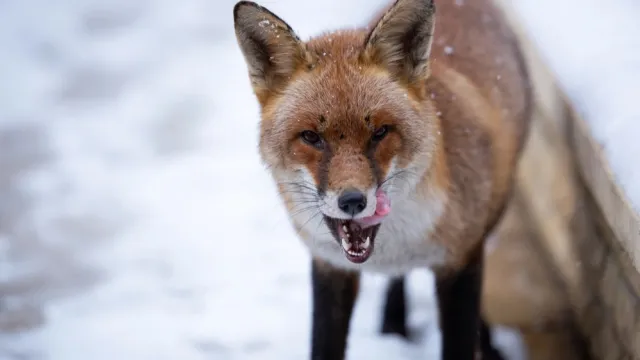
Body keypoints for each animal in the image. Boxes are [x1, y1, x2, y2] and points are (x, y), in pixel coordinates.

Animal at [232, 0, 532, 358]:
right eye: (310, 137)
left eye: (380, 132)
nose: (352, 201)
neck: (394, 249)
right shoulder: (330, 266)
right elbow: (324, 344)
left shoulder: (462, 261)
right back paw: (394, 322)